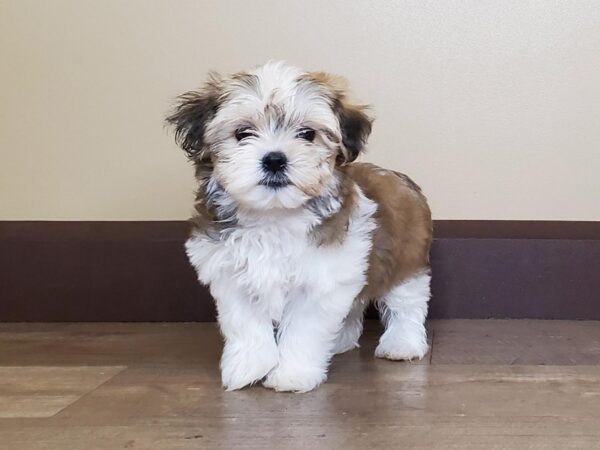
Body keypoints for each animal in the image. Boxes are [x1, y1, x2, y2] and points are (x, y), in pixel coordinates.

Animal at [166, 61, 434, 392]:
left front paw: (293, 374)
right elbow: (245, 324)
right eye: (243, 133)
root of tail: (399, 177)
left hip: (405, 259)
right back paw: (340, 342)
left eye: (307, 134)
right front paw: (248, 367)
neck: (274, 214)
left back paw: (402, 344)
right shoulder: (231, 275)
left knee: (406, 303)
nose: (274, 159)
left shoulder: (320, 279)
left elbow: (303, 331)